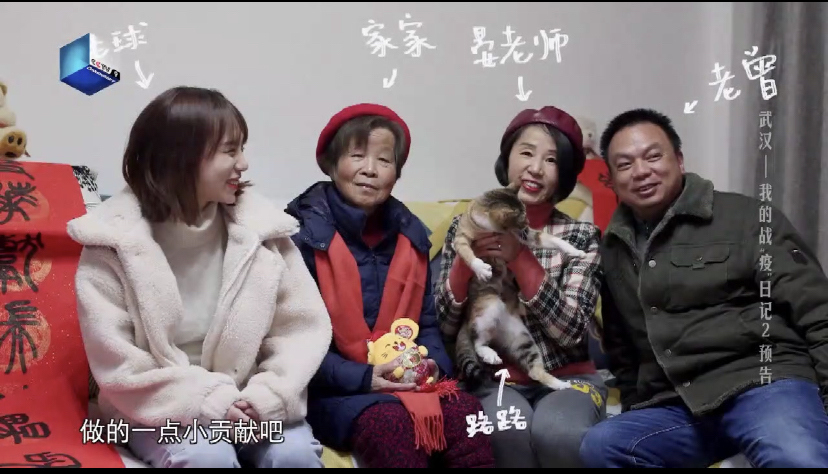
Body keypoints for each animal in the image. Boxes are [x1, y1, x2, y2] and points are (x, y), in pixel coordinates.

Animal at [451, 183, 586, 391]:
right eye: (522, 217)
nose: (528, 221)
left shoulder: (527, 235)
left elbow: (553, 240)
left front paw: (575, 251)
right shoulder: (461, 237)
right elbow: (466, 253)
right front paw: (481, 268)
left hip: (522, 339)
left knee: (534, 371)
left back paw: (560, 384)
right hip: (489, 304)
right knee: (478, 342)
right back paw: (489, 353)